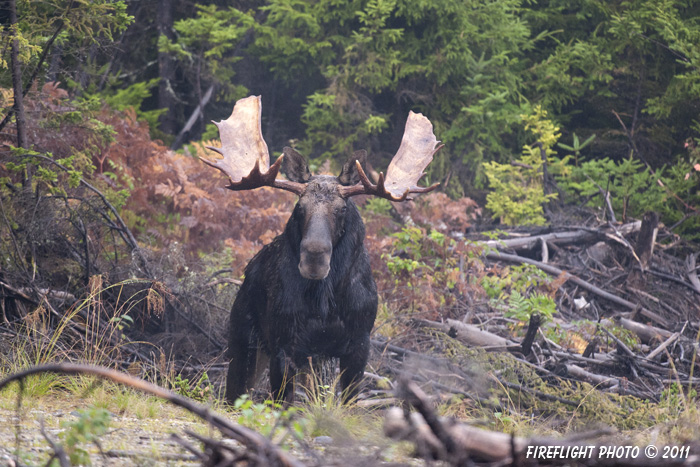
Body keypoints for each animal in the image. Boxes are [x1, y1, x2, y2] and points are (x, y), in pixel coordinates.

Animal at [200, 97, 440, 404]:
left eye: (341, 210)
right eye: (299, 208)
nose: (314, 258)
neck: (325, 301)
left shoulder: (358, 345)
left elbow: (348, 402)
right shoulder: (284, 345)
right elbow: (282, 403)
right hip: (244, 340)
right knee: (234, 394)